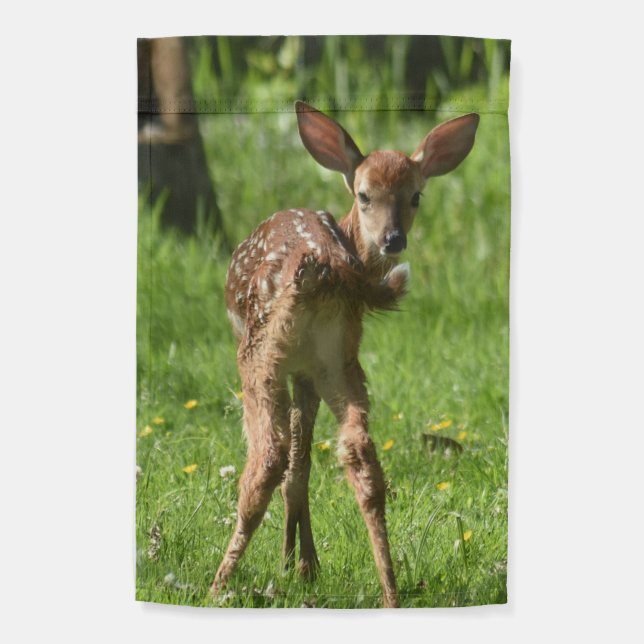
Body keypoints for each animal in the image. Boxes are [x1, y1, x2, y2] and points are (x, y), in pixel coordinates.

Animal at [211, 101, 479, 607]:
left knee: (269, 456)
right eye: (365, 194)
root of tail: (323, 266)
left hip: (259, 356)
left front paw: (294, 563)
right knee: (360, 456)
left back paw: (218, 582)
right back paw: (391, 592)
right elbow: (302, 466)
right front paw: (303, 565)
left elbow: (295, 463)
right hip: (339, 361)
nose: (393, 239)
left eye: (416, 196)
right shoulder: (310, 373)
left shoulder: (294, 371)